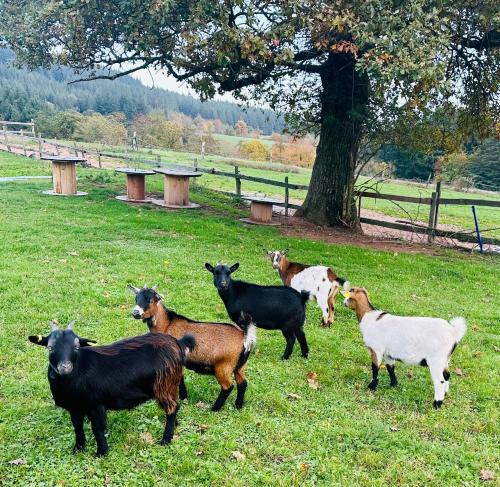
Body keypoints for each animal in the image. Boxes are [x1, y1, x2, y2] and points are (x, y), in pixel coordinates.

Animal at [28, 322, 194, 456]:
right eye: (50, 347)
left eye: (76, 346)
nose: (65, 368)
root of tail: (177, 342)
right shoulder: (75, 407)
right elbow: (77, 426)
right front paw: (78, 448)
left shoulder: (95, 404)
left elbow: (97, 428)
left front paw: (101, 452)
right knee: (174, 406)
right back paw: (175, 426)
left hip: (164, 385)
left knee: (172, 408)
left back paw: (166, 439)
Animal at [129, 284, 256, 414]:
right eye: (136, 298)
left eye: (150, 299)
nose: (135, 312)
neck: (167, 324)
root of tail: (244, 336)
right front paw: (184, 397)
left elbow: (179, 379)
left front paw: (182, 397)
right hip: (240, 366)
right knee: (243, 383)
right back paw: (238, 405)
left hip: (224, 366)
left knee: (228, 387)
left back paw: (214, 408)